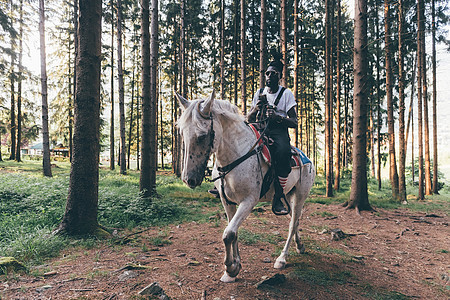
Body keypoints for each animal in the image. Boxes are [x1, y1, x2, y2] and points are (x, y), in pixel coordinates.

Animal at [177, 90, 316, 282]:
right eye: (182, 133)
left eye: (202, 135)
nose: (188, 179)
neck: (235, 156)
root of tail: (307, 159)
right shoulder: (227, 201)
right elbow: (232, 231)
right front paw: (234, 267)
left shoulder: (249, 200)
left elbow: (228, 233)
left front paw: (231, 268)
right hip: (288, 195)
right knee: (295, 221)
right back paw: (300, 246)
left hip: (301, 195)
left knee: (293, 222)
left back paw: (282, 258)